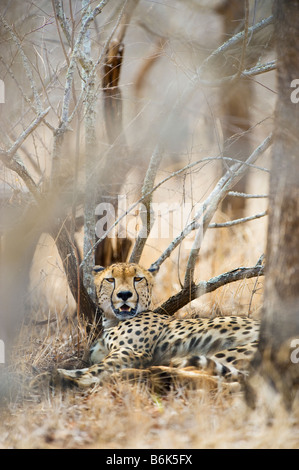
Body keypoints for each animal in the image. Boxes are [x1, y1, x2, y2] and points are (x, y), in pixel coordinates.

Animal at [55, 260, 262, 390]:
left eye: (138, 278)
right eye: (110, 279)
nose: (124, 295)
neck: (112, 320)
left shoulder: (131, 351)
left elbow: (93, 370)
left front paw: (78, 380)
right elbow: (83, 367)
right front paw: (62, 372)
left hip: (230, 353)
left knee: (212, 375)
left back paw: (145, 373)